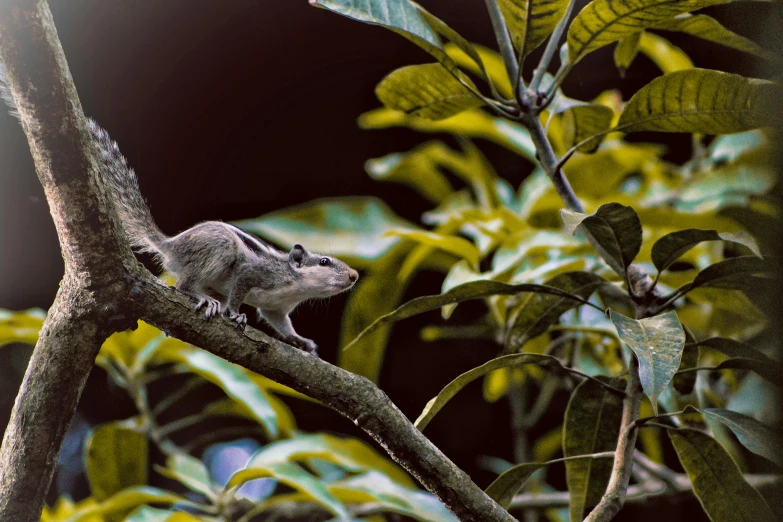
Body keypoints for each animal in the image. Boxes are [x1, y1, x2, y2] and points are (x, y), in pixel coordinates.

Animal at [0, 63, 358, 352]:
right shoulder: (254, 273)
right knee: (183, 285)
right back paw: (205, 299)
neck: (293, 283)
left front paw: (301, 341)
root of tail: (171, 245)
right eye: (325, 261)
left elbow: (280, 324)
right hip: (219, 249)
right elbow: (240, 292)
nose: (354, 275)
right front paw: (236, 314)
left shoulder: (276, 309)